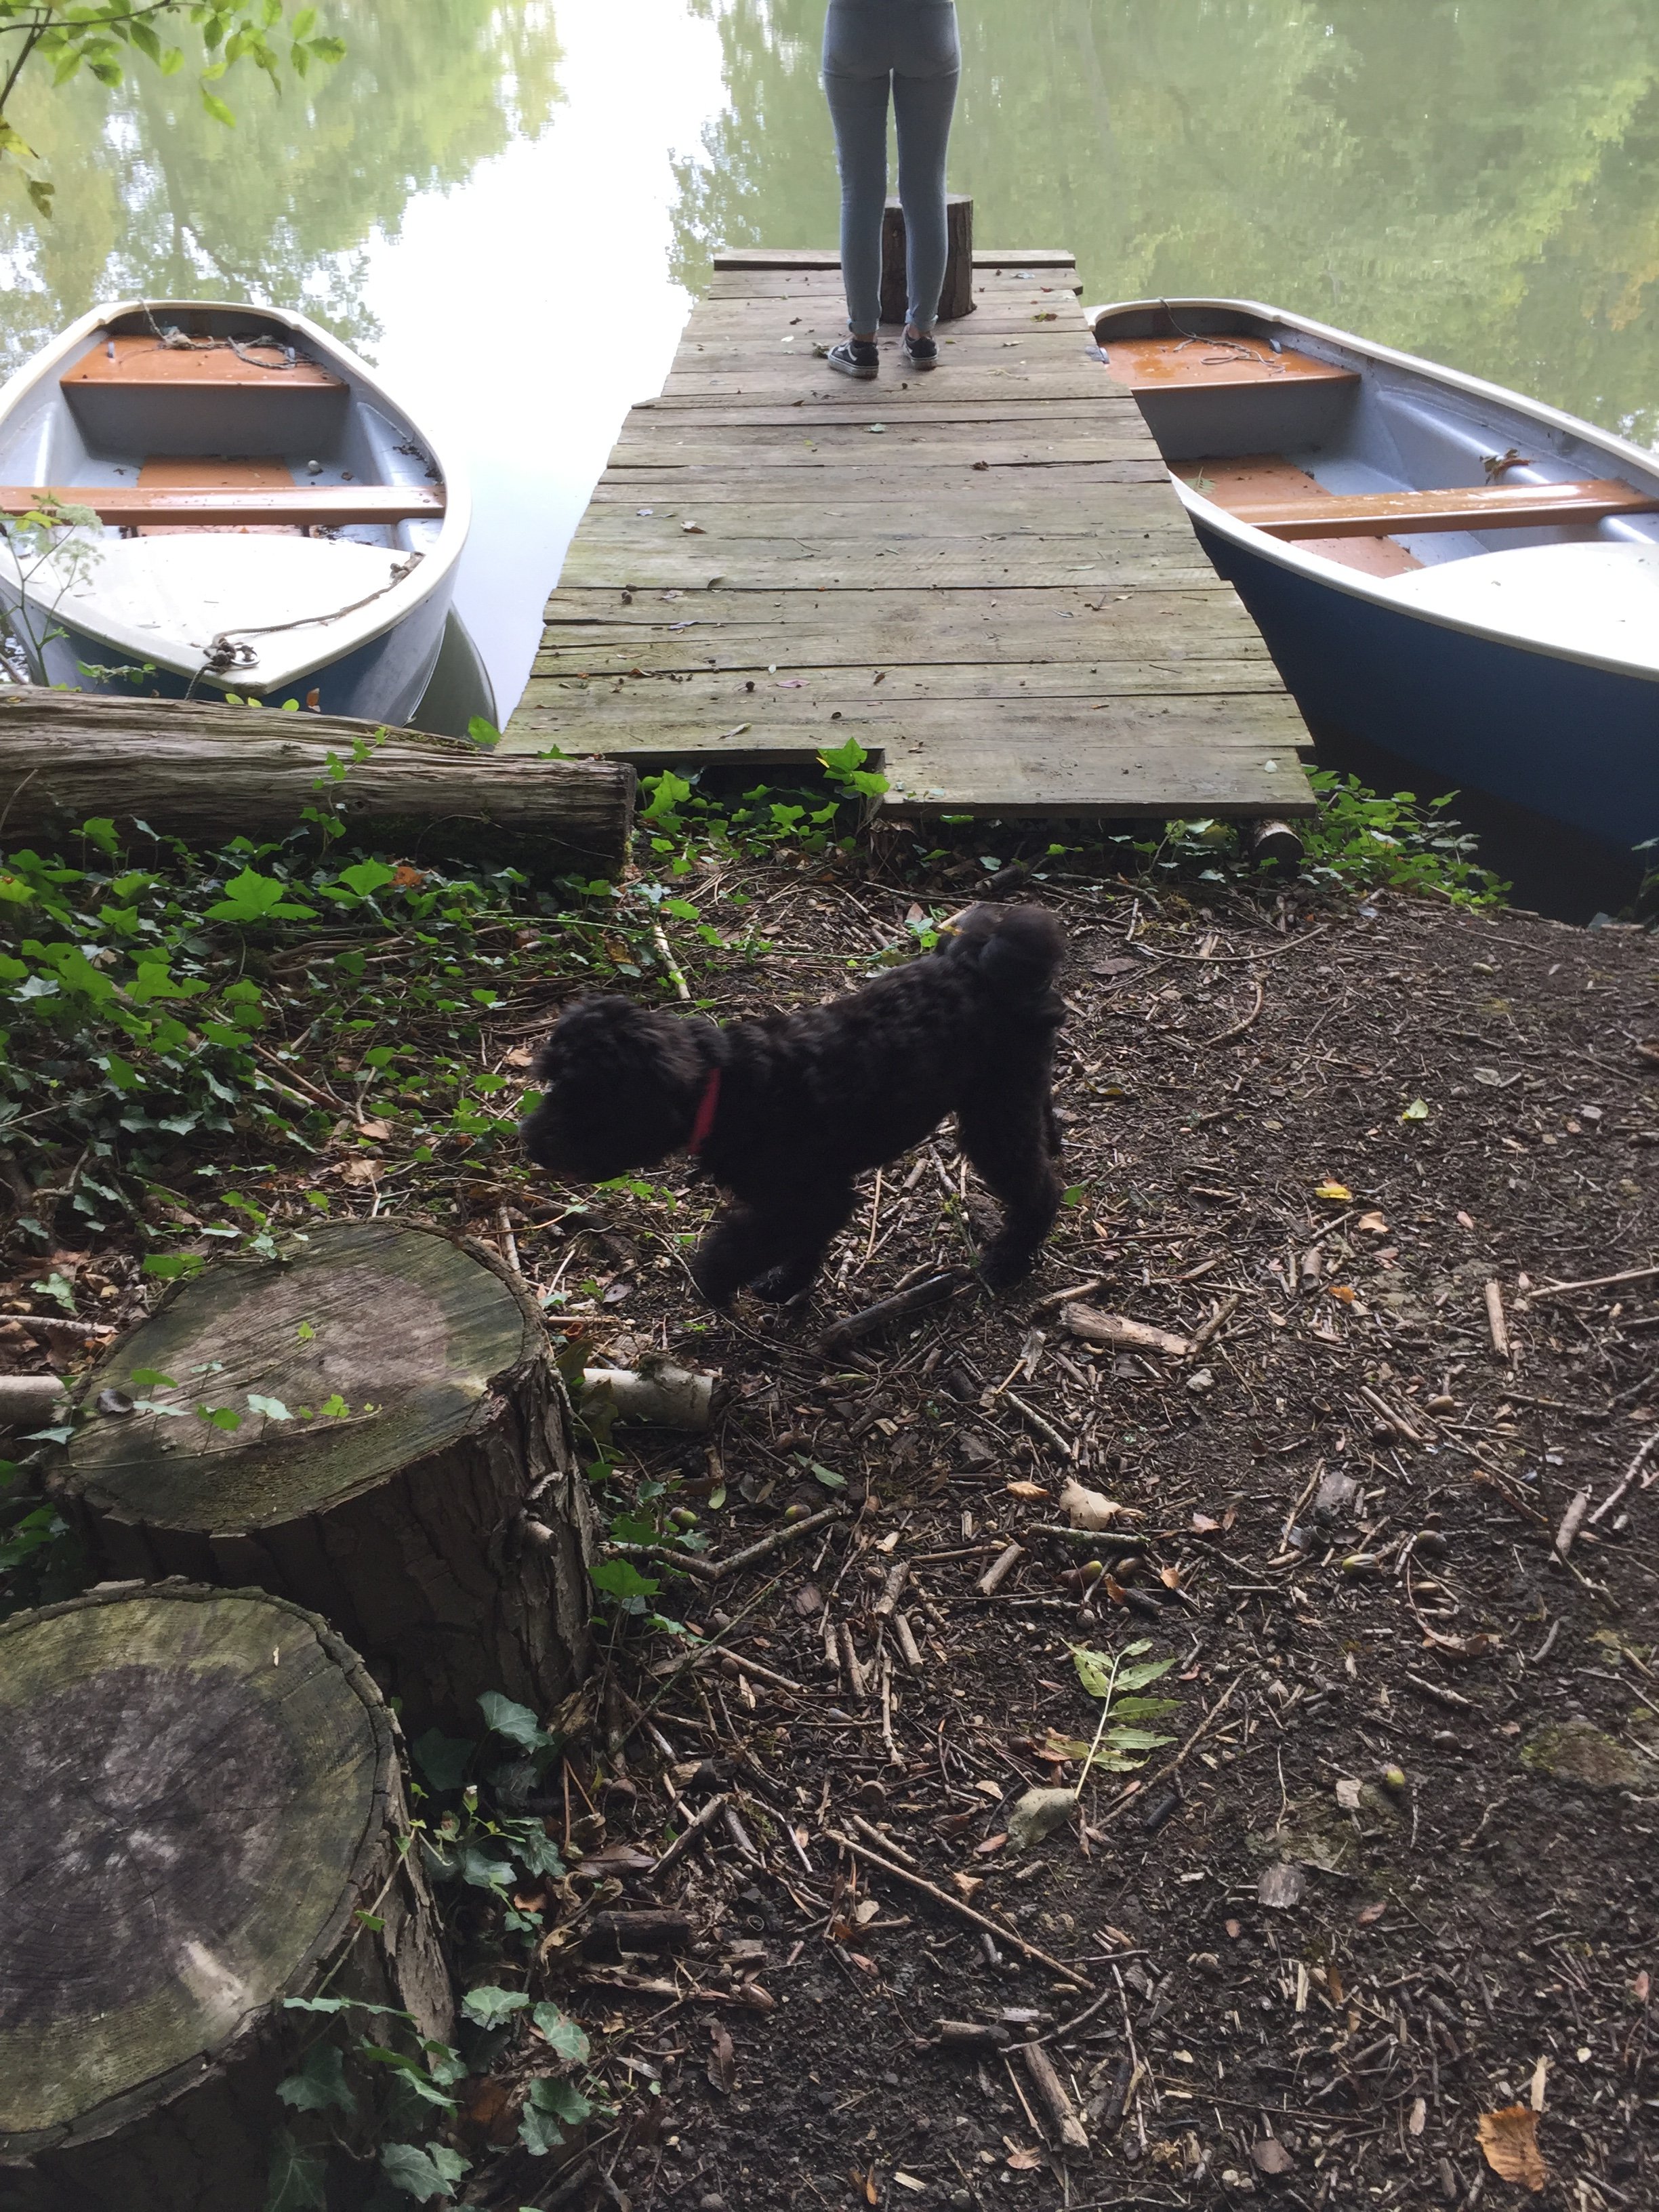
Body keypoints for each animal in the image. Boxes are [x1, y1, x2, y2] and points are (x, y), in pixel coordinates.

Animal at [520, 902, 1070, 1300]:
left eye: (587, 1098)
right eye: (551, 1082)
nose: (529, 1142)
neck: (727, 1089)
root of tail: (984, 963)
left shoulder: (809, 1197)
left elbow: (736, 1247)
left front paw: (716, 1284)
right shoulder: (816, 1199)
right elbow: (803, 1245)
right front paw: (788, 1285)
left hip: (994, 1118)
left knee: (1042, 1191)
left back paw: (1007, 1262)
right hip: (1013, 1092)